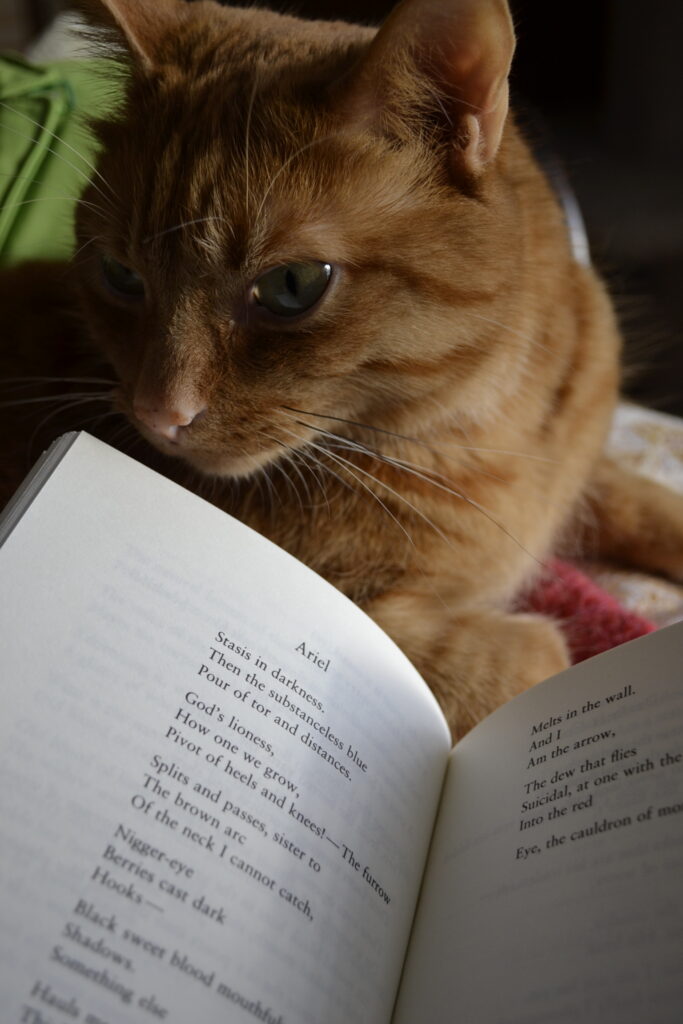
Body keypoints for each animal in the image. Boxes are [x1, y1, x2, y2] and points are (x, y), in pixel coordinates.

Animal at [1, 0, 683, 737]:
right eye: (121, 275)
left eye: (293, 285)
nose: (159, 412)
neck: (484, 434)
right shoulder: (378, 626)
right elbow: (528, 656)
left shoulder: (587, 468)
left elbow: (643, 500)